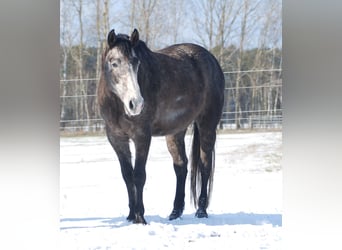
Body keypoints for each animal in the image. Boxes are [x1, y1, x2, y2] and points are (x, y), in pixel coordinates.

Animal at [97, 28, 224, 224]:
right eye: (114, 63)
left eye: (136, 62)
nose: (136, 103)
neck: (117, 105)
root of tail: (212, 60)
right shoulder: (116, 138)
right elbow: (127, 176)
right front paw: (131, 215)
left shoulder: (142, 136)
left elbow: (139, 175)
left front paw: (140, 217)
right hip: (175, 132)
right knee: (181, 167)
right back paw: (175, 211)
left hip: (207, 125)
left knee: (205, 165)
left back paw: (201, 210)